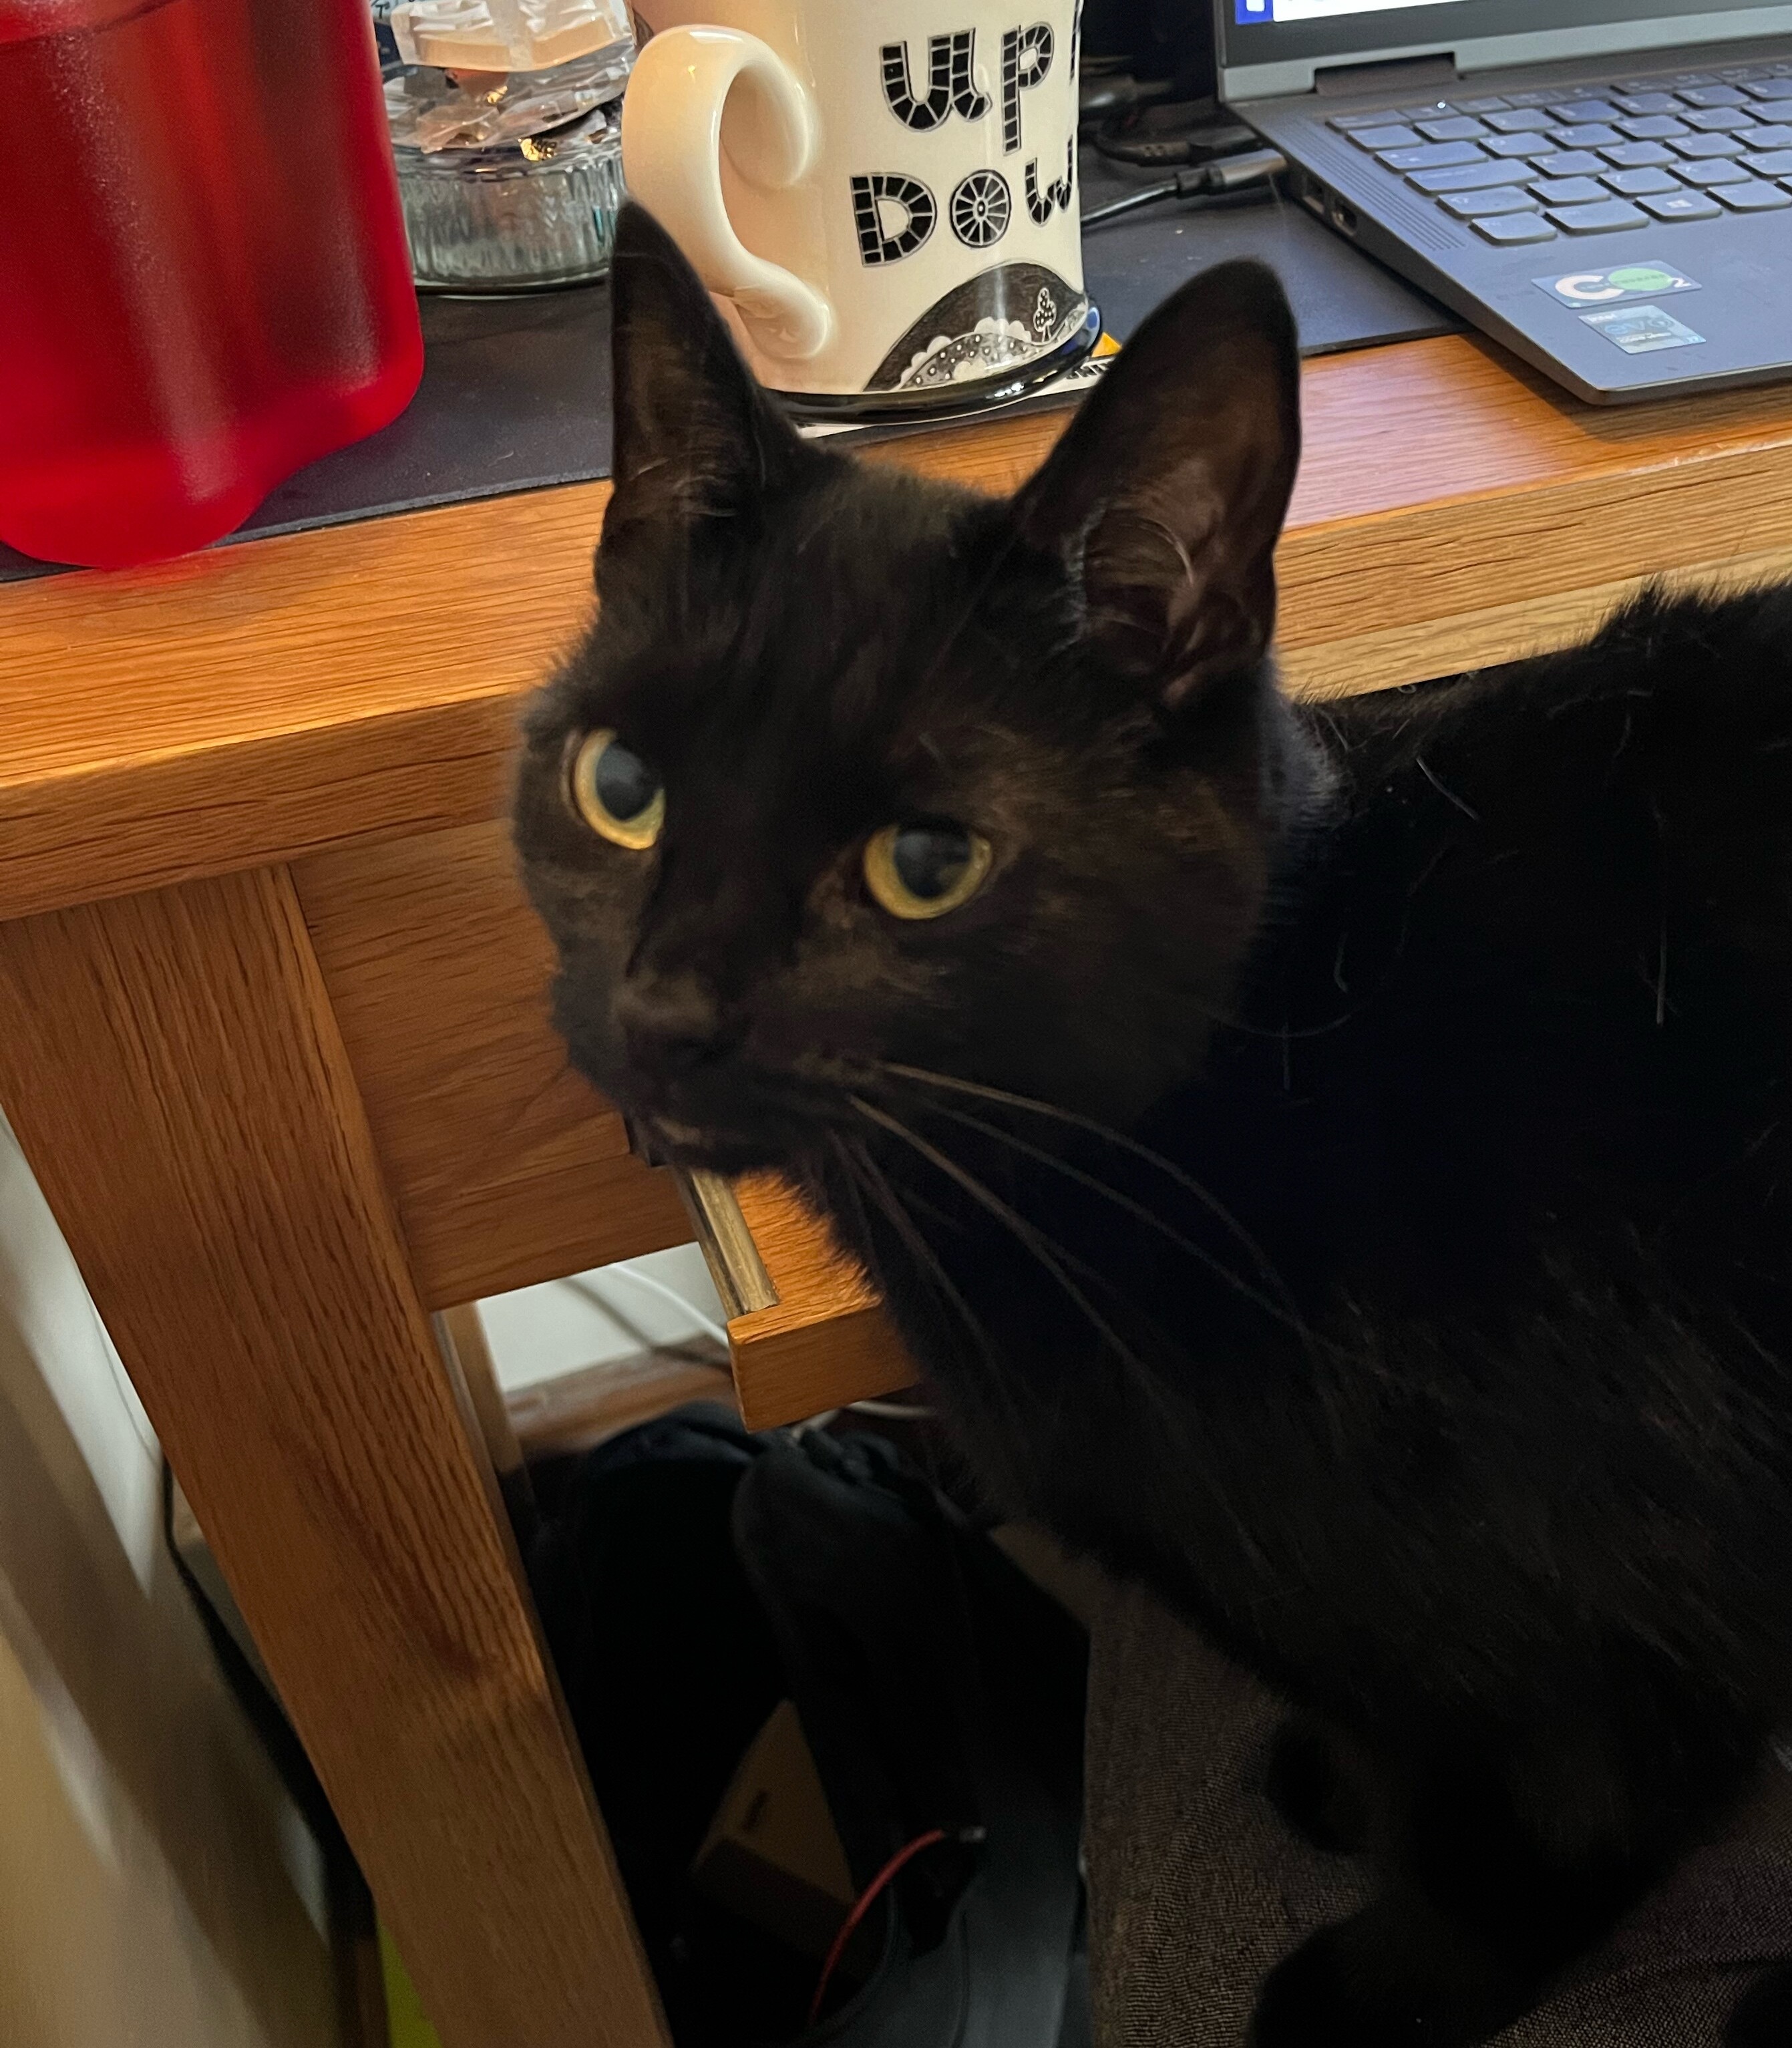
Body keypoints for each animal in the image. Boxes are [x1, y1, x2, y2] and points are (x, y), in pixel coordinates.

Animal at [514, 203, 1792, 2047]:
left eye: (925, 864)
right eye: (620, 788)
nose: (667, 1012)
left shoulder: (1624, 1670)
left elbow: (1527, 1850)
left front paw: (1361, 1998)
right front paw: (1338, 1783)